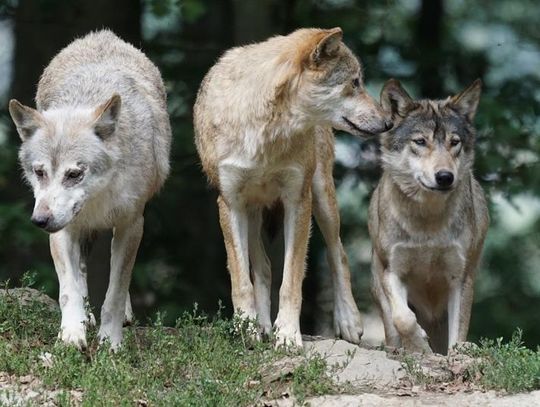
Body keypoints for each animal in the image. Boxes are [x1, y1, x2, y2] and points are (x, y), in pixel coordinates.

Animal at [9, 30, 172, 350]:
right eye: (39, 172)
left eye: (74, 174)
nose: (39, 221)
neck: (97, 200)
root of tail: (101, 35)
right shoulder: (62, 230)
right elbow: (69, 289)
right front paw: (72, 334)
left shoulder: (132, 225)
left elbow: (116, 292)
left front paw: (111, 342)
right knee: (81, 272)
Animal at [194, 27, 392, 348]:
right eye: (355, 83)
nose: (388, 122)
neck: (266, 132)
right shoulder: (230, 203)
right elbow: (241, 280)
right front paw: (247, 329)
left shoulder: (298, 201)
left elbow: (291, 280)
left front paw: (287, 334)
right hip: (252, 212)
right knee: (262, 267)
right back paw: (261, 326)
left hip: (322, 197)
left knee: (339, 254)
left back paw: (348, 321)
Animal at [372, 79, 490, 354]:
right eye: (420, 141)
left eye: (454, 142)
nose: (445, 177)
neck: (427, 221)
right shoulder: (392, 271)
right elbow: (403, 318)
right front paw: (419, 345)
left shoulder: (461, 277)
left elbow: (458, 334)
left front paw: (456, 353)